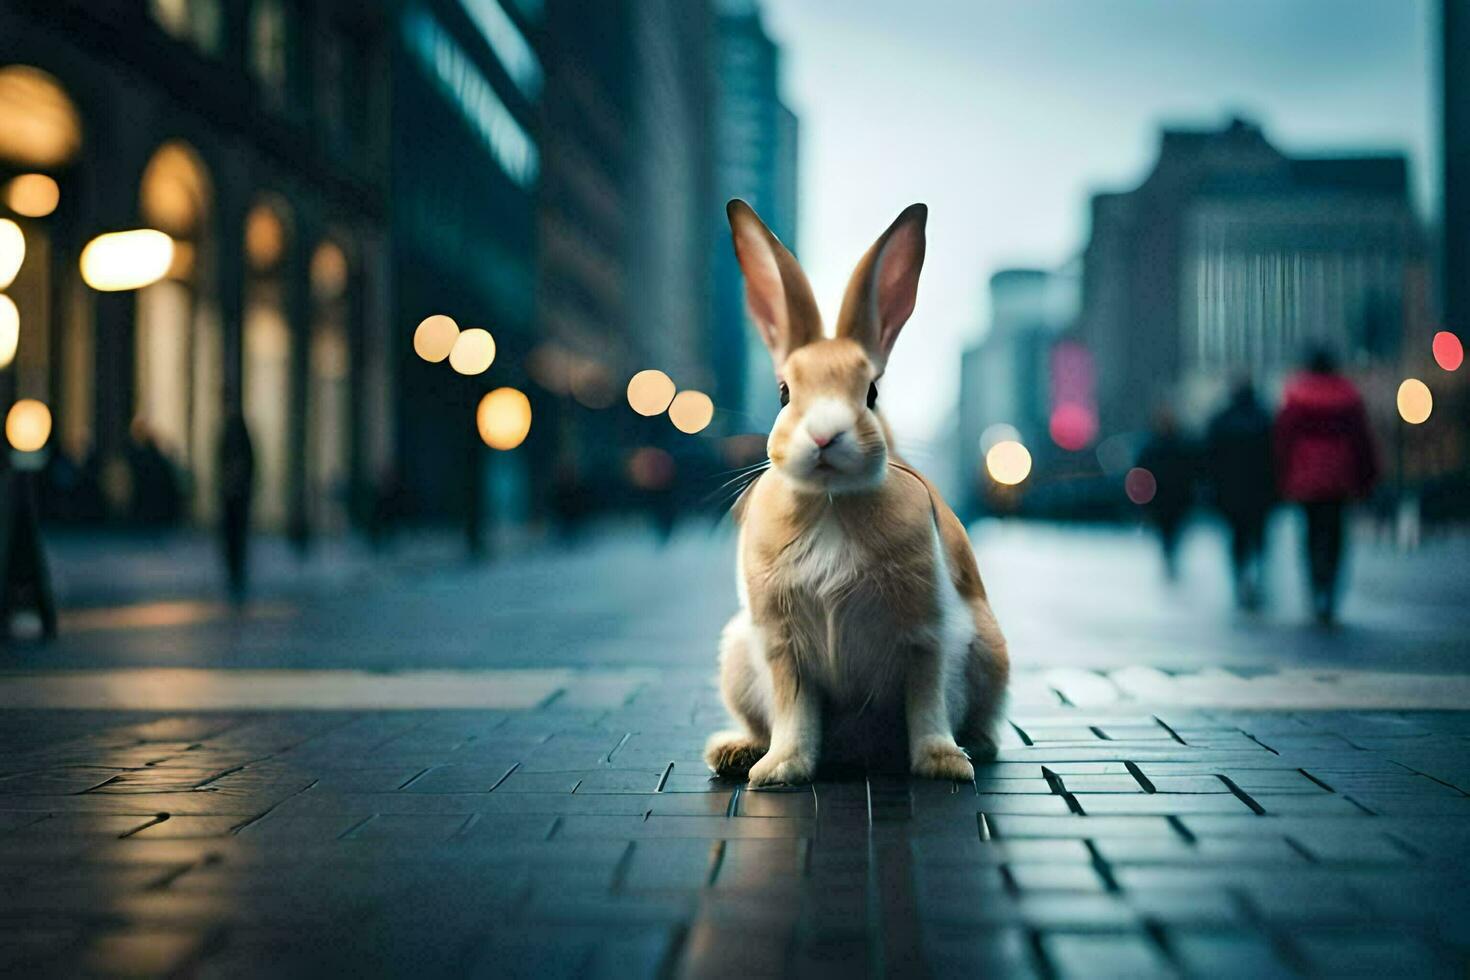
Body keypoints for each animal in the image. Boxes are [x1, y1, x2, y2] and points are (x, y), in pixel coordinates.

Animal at [702, 199, 1005, 787]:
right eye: (783, 393)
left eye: (871, 393)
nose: (825, 436)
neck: (830, 503)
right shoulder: (782, 648)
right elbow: (794, 712)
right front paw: (779, 771)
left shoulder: (927, 636)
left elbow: (927, 705)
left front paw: (944, 765)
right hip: (736, 656)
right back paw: (735, 753)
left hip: (990, 652)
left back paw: (976, 746)